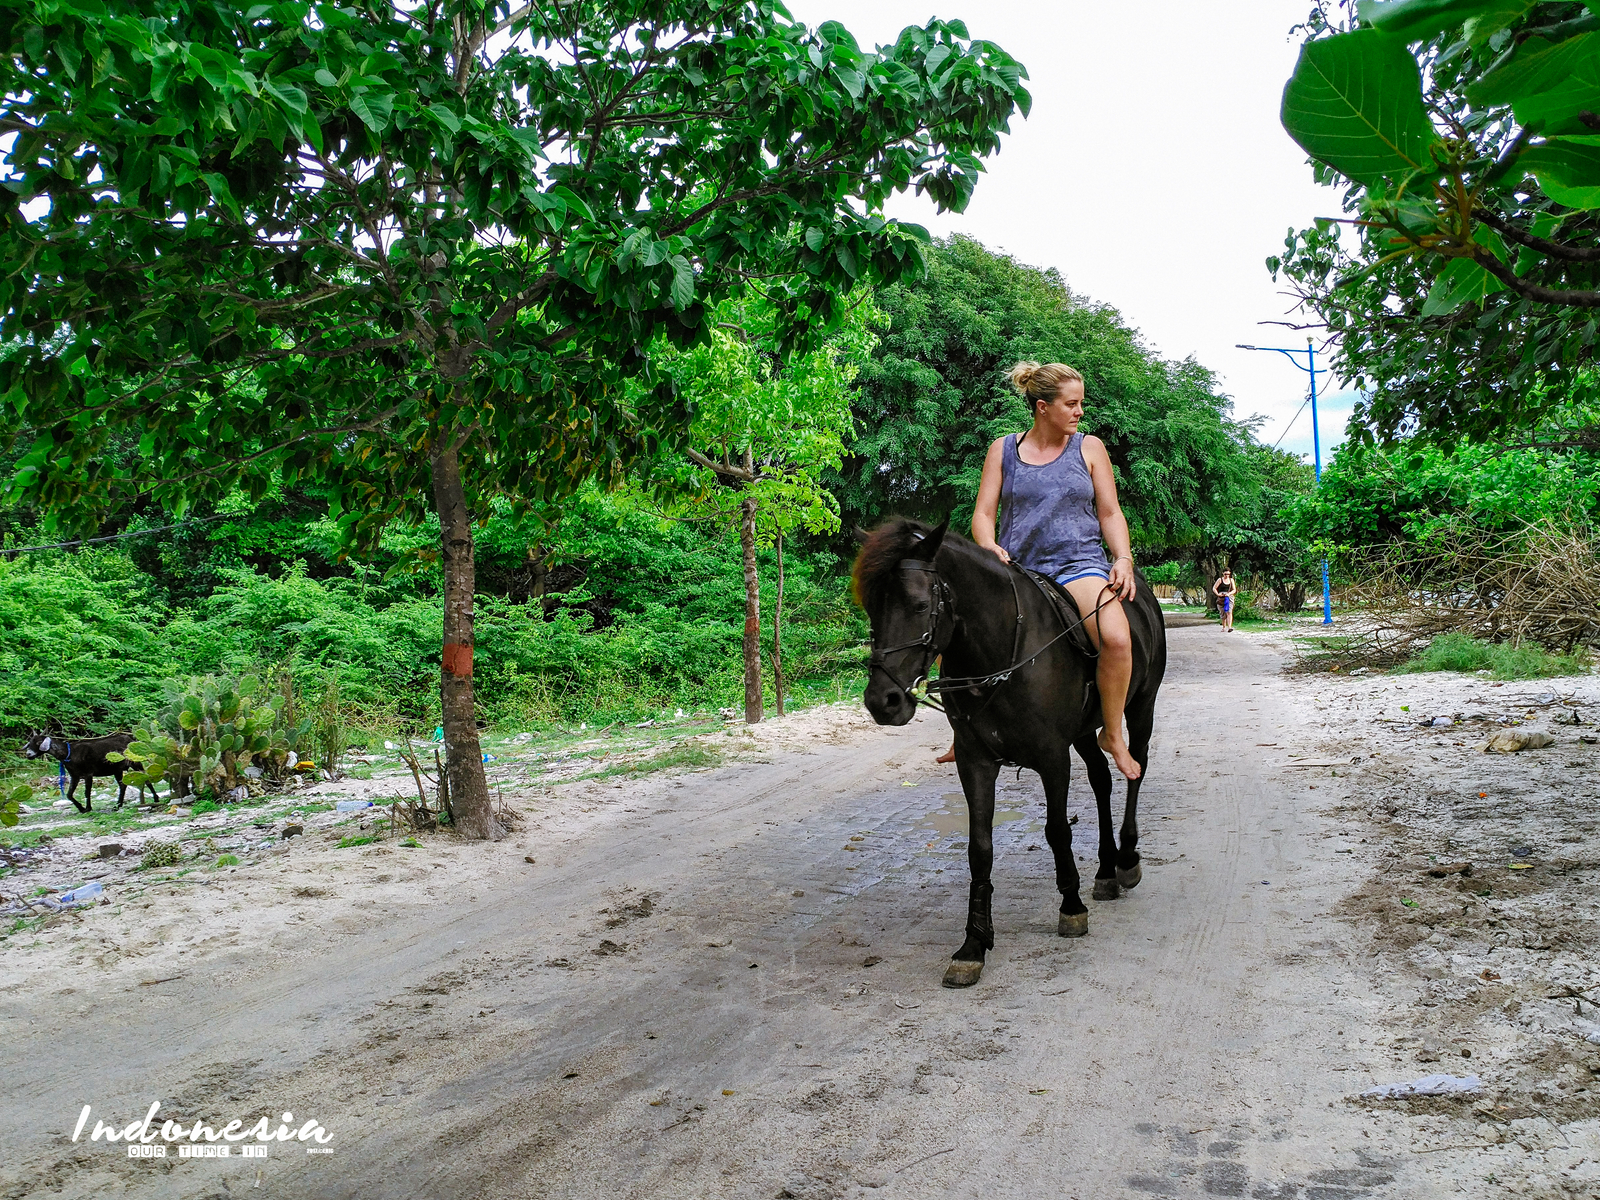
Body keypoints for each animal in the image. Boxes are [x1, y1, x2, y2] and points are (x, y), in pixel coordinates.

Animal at [857, 518, 1171, 985]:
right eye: (871, 607)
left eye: (918, 605)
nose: (883, 701)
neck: (1000, 653)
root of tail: (1145, 596)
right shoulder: (975, 762)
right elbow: (979, 848)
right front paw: (974, 942)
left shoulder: (1053, 758)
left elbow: (1057, 831)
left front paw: (1071, 906)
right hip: (1083, 732)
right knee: (1100, 778)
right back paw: (1104, 870)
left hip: (1140, 706)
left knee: (1136, 767)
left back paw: (1127, 858)